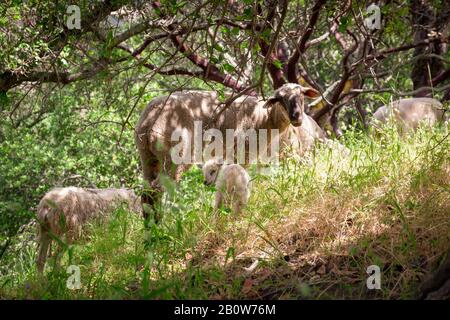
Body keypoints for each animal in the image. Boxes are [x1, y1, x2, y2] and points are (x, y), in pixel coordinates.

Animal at [134, 82, 320, 219]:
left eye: (302, 95)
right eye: (280, 99)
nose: (297, 117)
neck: (265, 118)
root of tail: (148, 122)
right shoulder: (242, 151)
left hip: (148, 156)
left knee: (147, 193)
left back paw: (150, 232)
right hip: (176, 154)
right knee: (158, 190)